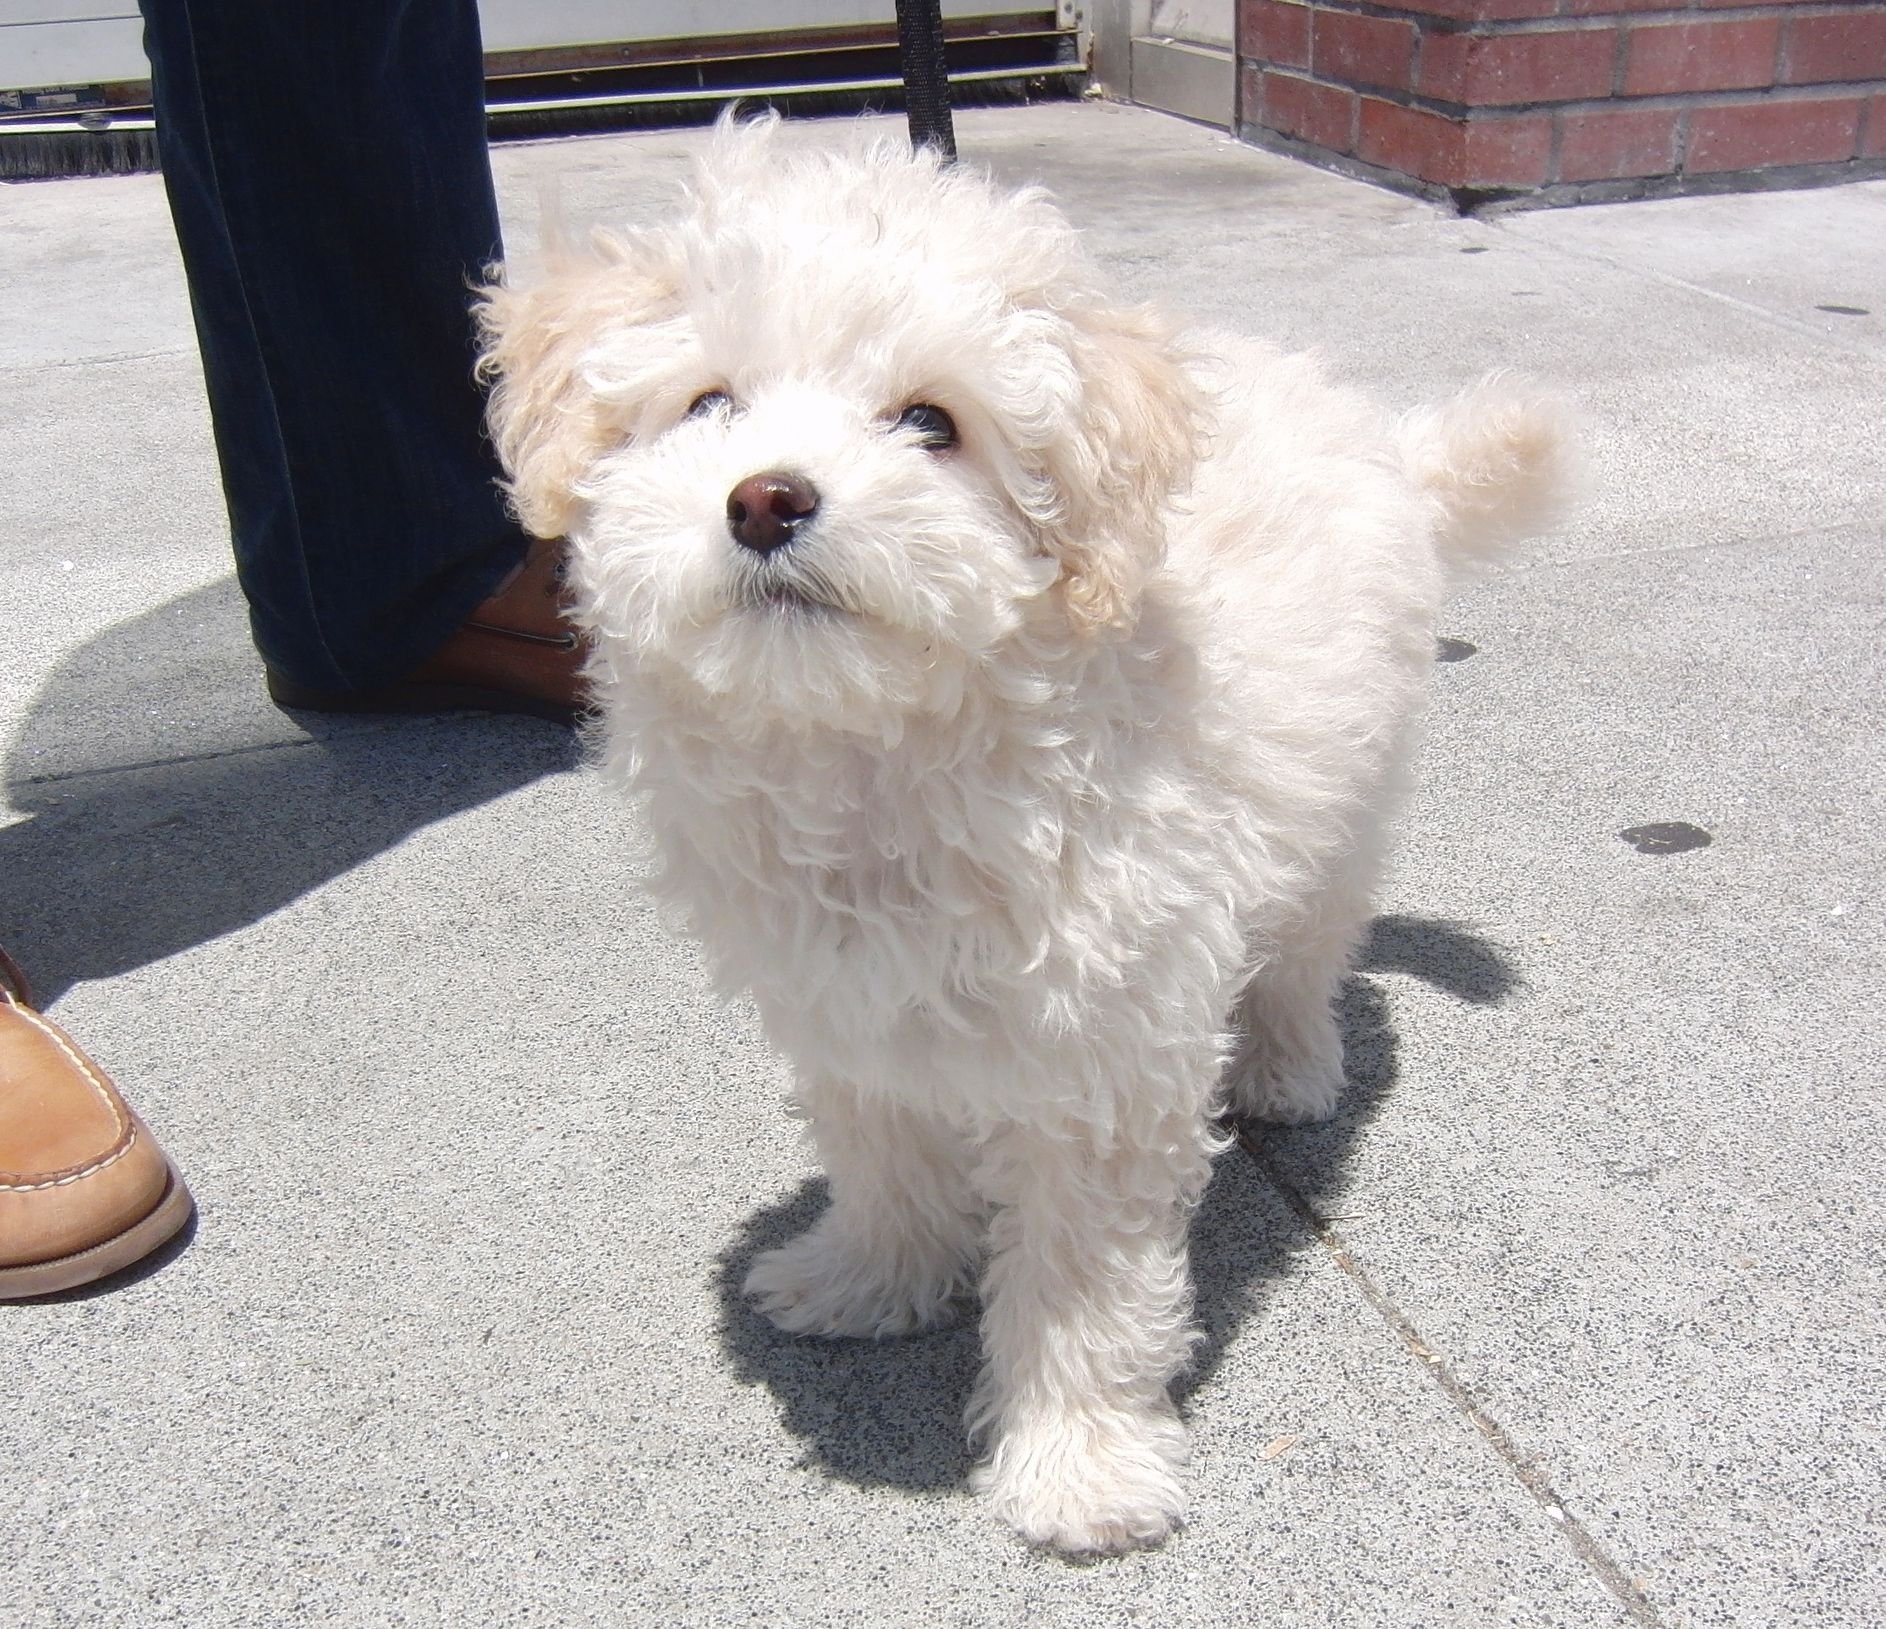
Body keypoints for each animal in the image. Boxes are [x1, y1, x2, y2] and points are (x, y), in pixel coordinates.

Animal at [479, 117, 1569, 1553]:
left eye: (930, 423)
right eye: (709, 403)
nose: (766, 499)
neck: (880, 746)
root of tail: (1369, 423)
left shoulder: (1100, 1058)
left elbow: (1081, 1282)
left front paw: (1076, 1460)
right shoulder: (844, 1008)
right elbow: (880, 1154)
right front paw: (871, 1276)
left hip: (1344, 787)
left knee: (1307, 938)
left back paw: (1287, 1061)